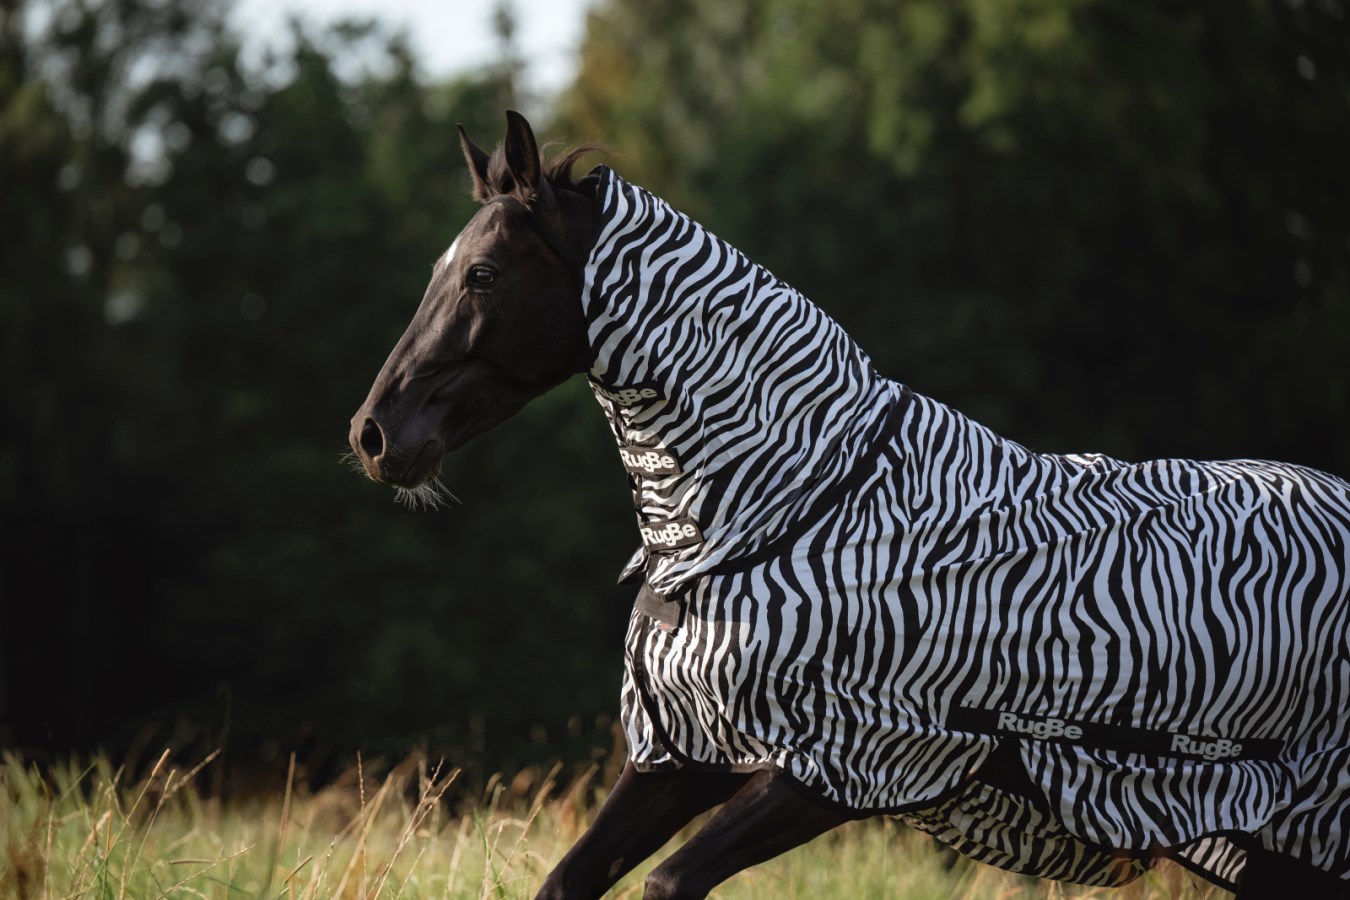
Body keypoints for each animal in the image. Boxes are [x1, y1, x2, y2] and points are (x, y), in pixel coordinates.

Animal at [349, 111, 1350, 899]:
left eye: (483, 274)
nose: (374, 435)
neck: (789, 508)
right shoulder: (685, 753)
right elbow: (570, 879)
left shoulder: (848, 765)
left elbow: (669, 882)